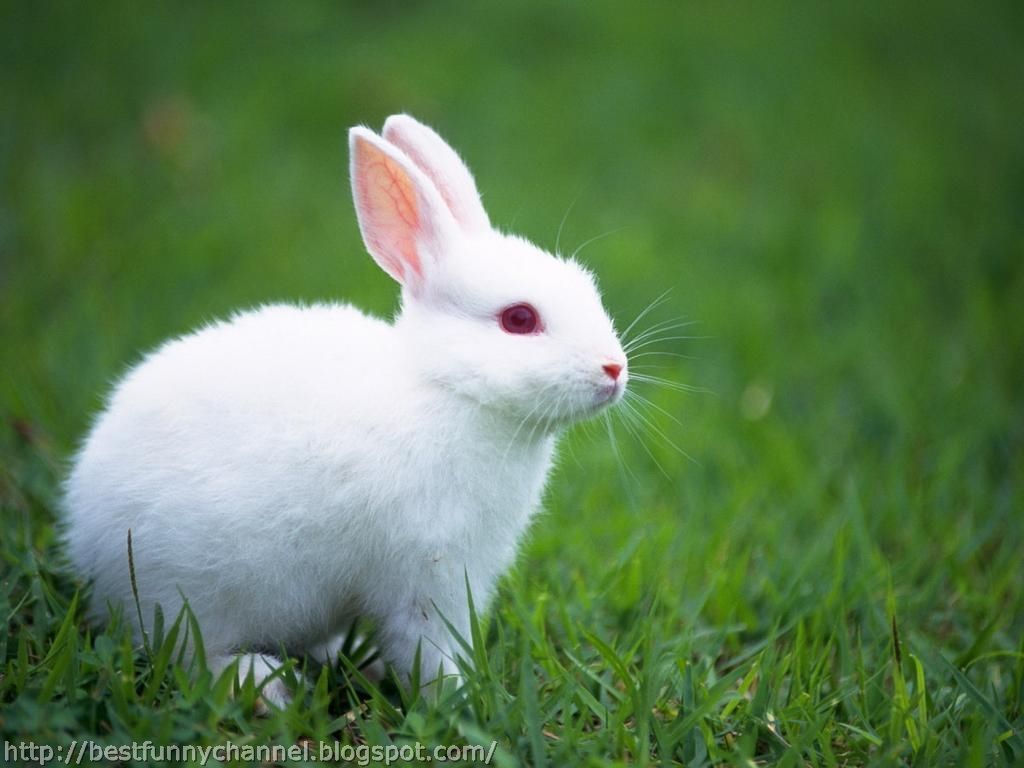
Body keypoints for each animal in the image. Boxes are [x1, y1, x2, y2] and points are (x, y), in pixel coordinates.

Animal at [63, 114, 628, 707]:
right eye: (519, 319)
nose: (614, 369)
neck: (447, 389)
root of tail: (85, 537)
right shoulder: (429, 577)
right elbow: (429, 650)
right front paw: (460, 701)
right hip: (191, 593)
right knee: (191, 655)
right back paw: (265, 685)